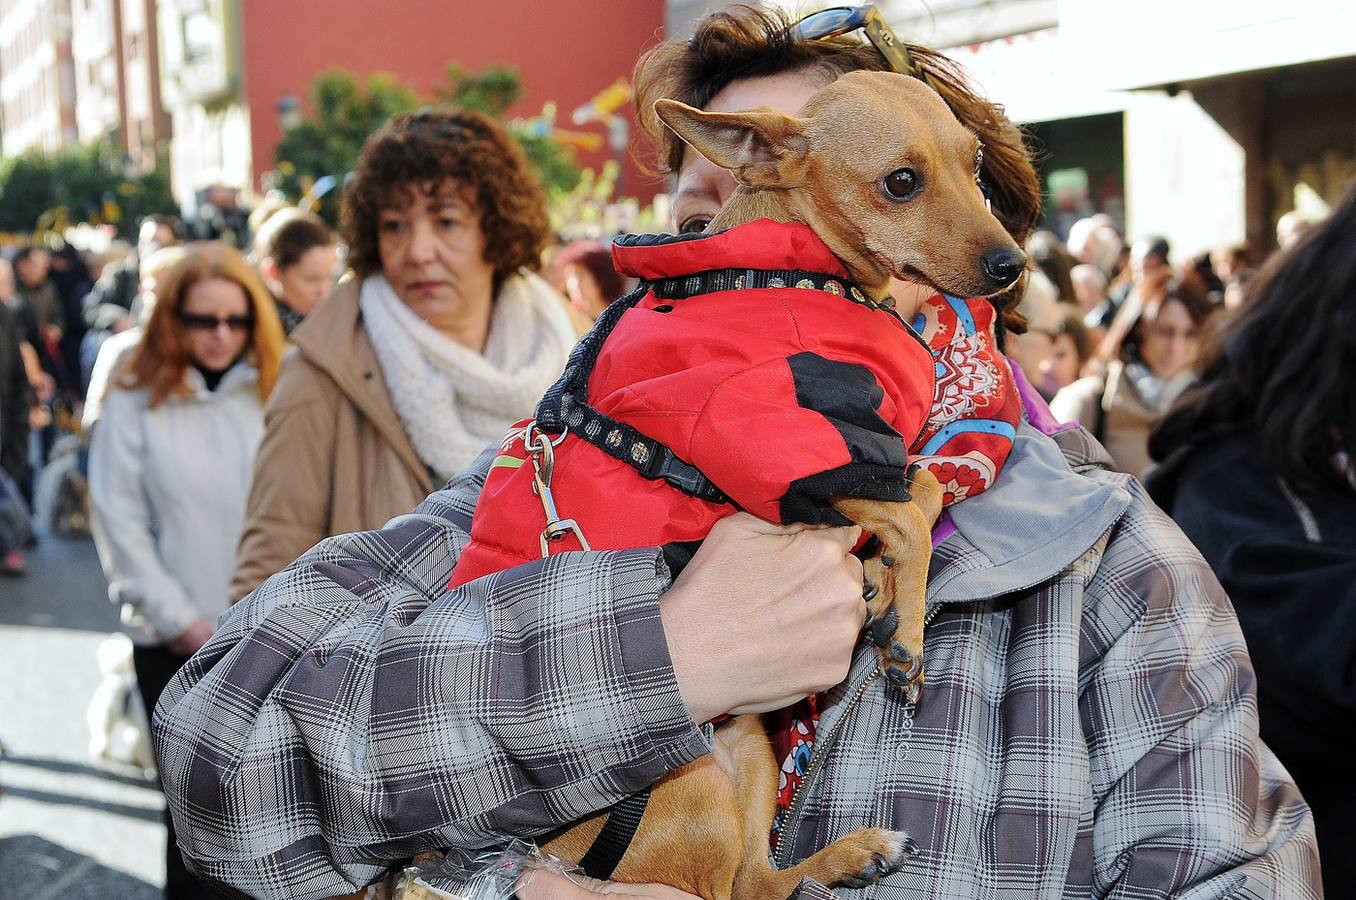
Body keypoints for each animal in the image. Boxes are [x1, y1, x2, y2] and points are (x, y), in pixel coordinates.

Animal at [523, 72, 1019, 900]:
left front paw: (882, 591)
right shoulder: (786, 456)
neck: (789, 264)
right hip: (692, 787)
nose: (1013, 265)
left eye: (973, 162)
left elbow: (922, 494)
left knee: (761, 880)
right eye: (902, 183)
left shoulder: (867, 451)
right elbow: (915, 519)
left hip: (749, 746)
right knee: (733, 887)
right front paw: (908, 638)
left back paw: (853, 854)